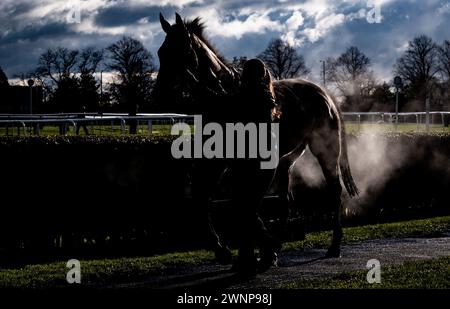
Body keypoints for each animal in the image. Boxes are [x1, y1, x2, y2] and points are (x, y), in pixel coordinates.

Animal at [154, 13, 358, 258]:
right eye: (161, 52)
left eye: (182, 51)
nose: (160, 95)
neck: (226, 100)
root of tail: (325, 94)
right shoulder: (219, 161)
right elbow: (208, 197)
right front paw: (225, 248)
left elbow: (244, 203)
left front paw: (254, 244)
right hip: (288, 157)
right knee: (284, 197)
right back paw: (278, 239)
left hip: (325, 150)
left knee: (335, 191)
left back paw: (334, 244)